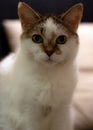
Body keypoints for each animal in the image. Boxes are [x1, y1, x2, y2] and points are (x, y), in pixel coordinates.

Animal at [0, 2, 83, 130]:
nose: (49, 52)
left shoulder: (62, 115)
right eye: (37, 38)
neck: (49, 78)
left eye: (61, 39)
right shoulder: (29, 116)